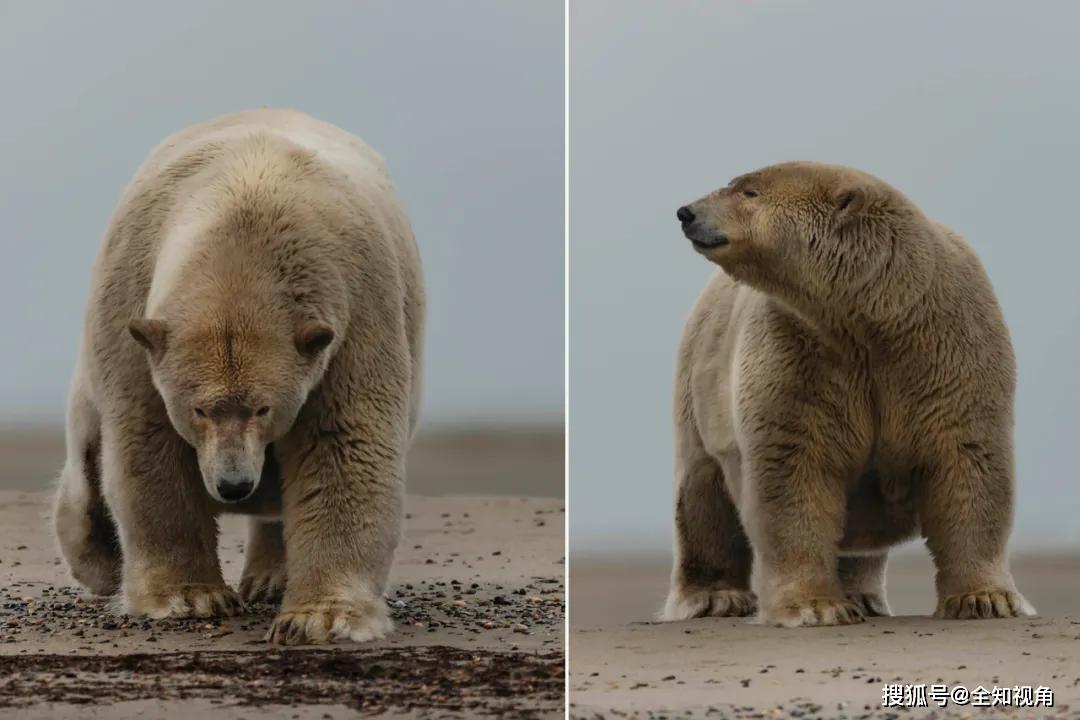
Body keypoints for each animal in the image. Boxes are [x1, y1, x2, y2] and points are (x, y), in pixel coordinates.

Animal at [52, 108, 421, 647]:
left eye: (264, 407)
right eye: (200, 409)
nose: (232, 484)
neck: (247, 206)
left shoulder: (353, 318)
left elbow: (343, 442)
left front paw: (320, 617)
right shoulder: (135, 310)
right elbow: (150, 442)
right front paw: (189, 597)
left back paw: (270, 578)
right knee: (86, 456)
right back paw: (97, 560)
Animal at [660, 161, 1032, 626]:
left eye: (748, 191)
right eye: (738, 184)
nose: (686, 212)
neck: (876, 318)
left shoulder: (949, 347)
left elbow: (967, 460)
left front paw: (985, 599)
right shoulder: (799, 354)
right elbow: (794, 468)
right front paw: (815, 606)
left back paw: (863, 596)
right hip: (700, 382)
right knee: (702, 494)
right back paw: (714, 597)